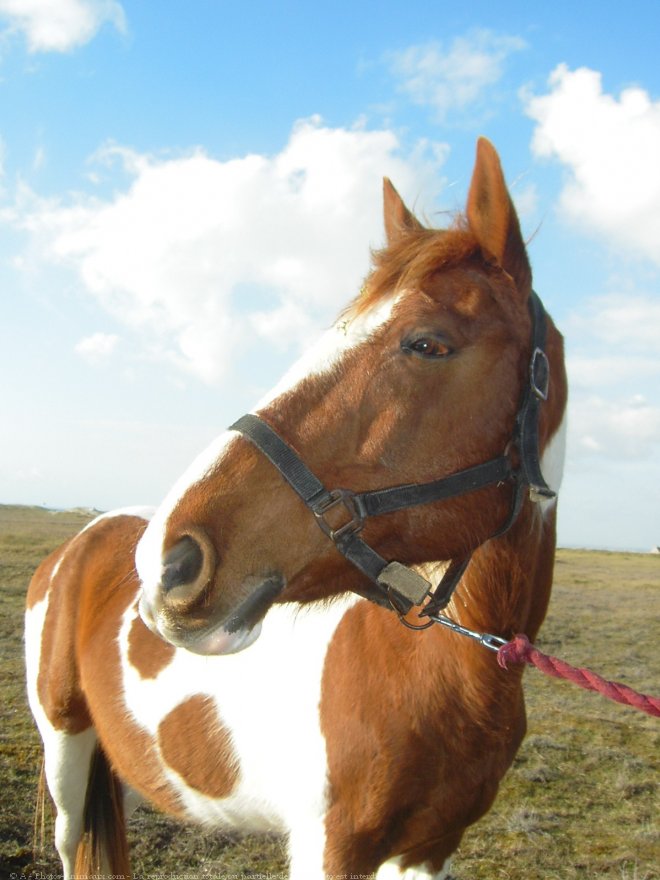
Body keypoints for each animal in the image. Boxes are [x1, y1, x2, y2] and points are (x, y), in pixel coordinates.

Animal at [25, 138, 568, 880]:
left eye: (428, 343)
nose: (169, 561)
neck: (440, 669)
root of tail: (80, 544)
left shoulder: (430, 849)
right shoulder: (329, 847)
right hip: (66, 763)